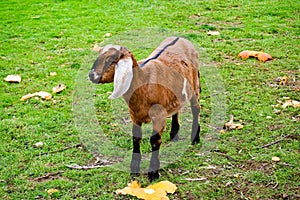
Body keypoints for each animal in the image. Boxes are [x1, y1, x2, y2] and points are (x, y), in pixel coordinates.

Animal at [89, 36, 202, 182]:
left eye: (111, 60)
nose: (91, 75)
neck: (143, 81)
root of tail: (181, 38)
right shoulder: (134, 115)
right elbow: (136, 138)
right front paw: (134, 169)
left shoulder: (159, 115)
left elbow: (155, 140)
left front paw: (153, 173)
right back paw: (174, 134)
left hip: (194, 86)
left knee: (196, 109)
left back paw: (195, 138)